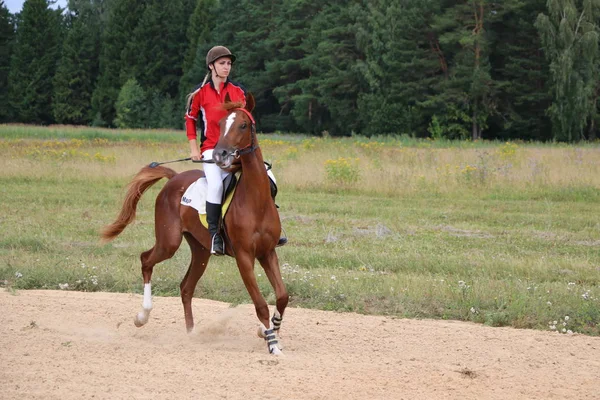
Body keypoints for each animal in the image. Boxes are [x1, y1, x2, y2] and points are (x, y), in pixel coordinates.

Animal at [102, 93, 290, 354]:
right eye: (220, 124)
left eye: (243, 125)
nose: (220, 154)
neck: (256, 200)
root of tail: (173, 178)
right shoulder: (244, 257)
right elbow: (260, 303)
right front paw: (272, 344)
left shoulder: (268, 252)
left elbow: (282, 296)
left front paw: (269, 330)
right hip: (169, 242)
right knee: (146, 260)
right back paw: (142, 316)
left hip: (201, 251)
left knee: (186, 287)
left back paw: (191, 334)